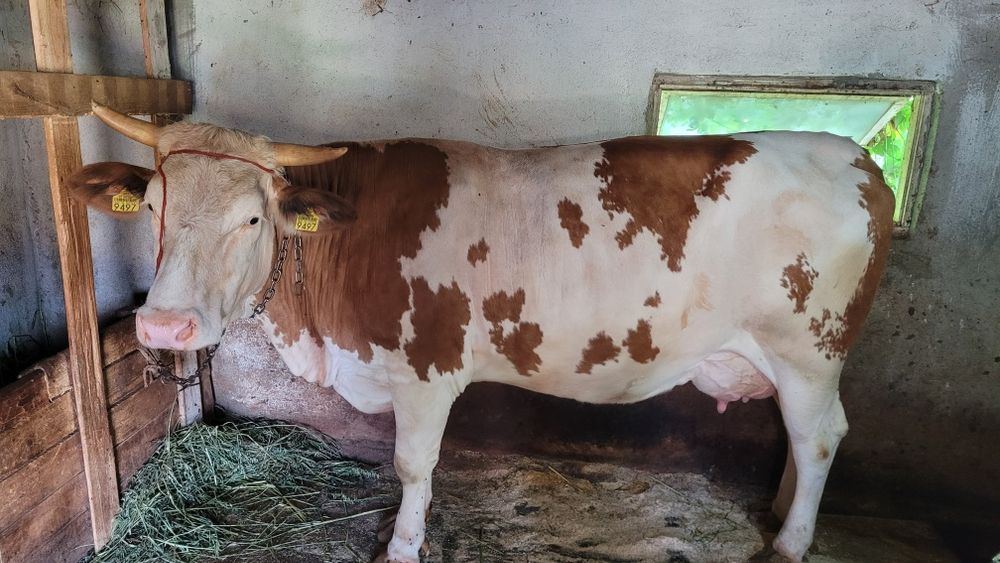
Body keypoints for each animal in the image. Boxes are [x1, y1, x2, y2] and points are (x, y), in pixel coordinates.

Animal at [69, 102, 892, 563]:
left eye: (251, 218)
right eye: (152, 209)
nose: (164, 323)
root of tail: (854, 157)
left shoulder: (426, 371)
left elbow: (411, 465)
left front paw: (402, 545)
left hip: (809, 352)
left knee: (820, 436)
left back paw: (789, 542)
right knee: (803, 440)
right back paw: (782, 513)